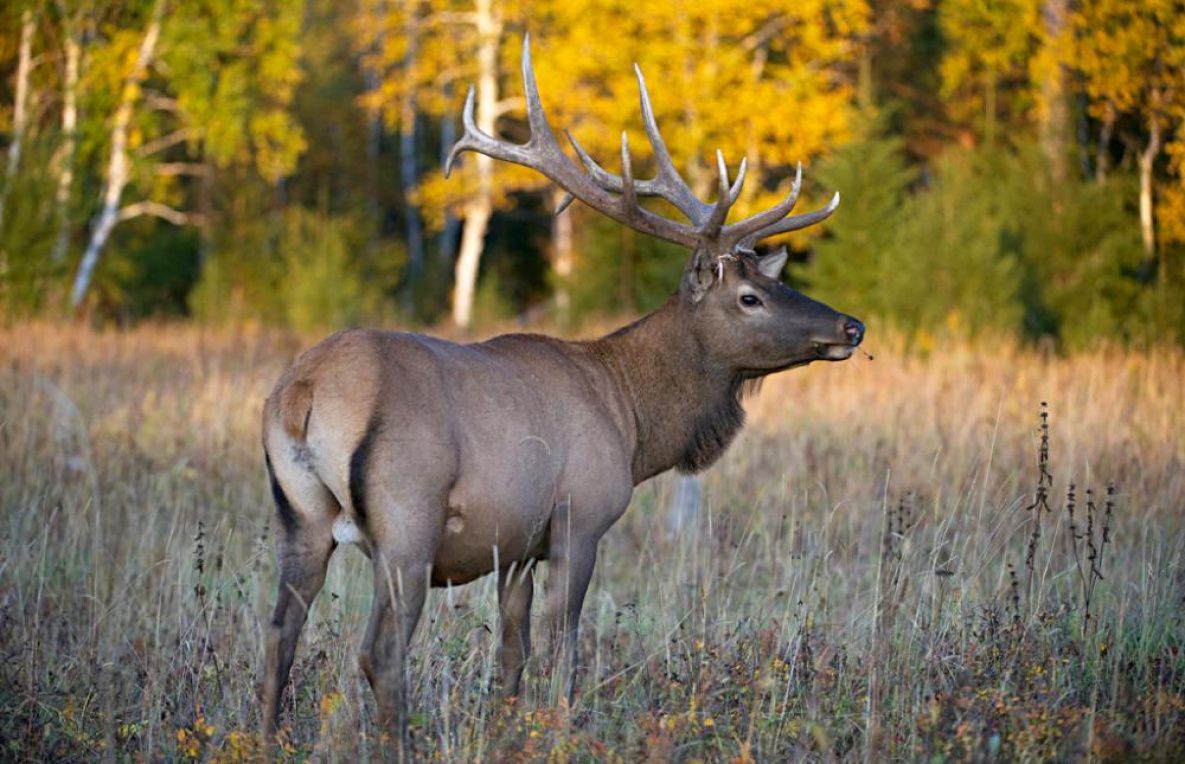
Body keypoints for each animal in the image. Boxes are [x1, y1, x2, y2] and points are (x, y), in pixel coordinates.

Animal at [264, 37, 867, 748]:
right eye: (750, 297)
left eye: (771, 282)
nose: (850, 326)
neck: (633, 422)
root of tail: (301, 395)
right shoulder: (581, 517)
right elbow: (565, 646)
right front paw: (558, 728)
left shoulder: (518, 543)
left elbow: (513, 651)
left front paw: (507, 729)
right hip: (406, 517)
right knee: (380, 650)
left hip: (300, 516)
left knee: (280, 632)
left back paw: (263, 737)